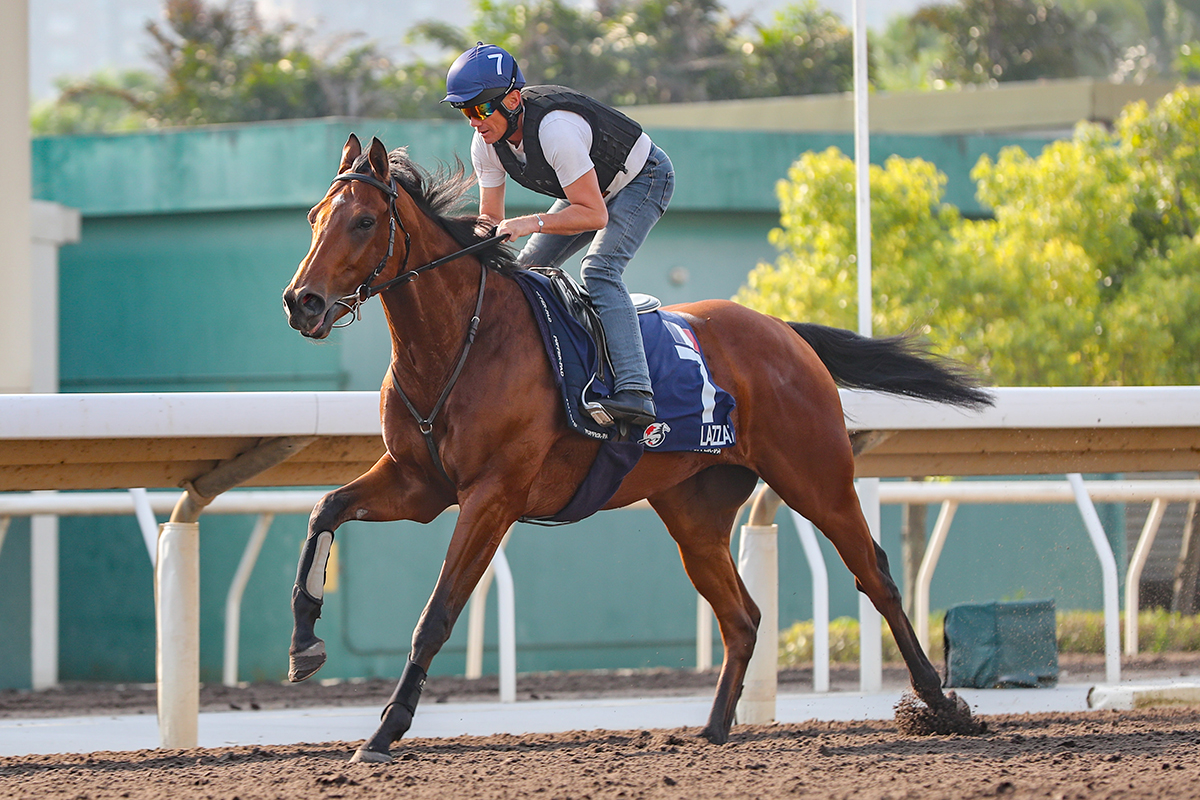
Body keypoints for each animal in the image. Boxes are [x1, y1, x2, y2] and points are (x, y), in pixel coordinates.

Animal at [283, 133, 993, 762]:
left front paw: (384, 731)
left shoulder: (492, 496)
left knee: (876, 576)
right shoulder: (418, 484)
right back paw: (712, 730)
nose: (301, 302)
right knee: (743, 616)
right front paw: (304, 645)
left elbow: (436, 612)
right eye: (315, 216)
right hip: (694, 513)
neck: (461, 340)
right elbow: (324, 512)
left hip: (817, 478)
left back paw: (941, 705)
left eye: (364, 221)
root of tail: (784, 332)